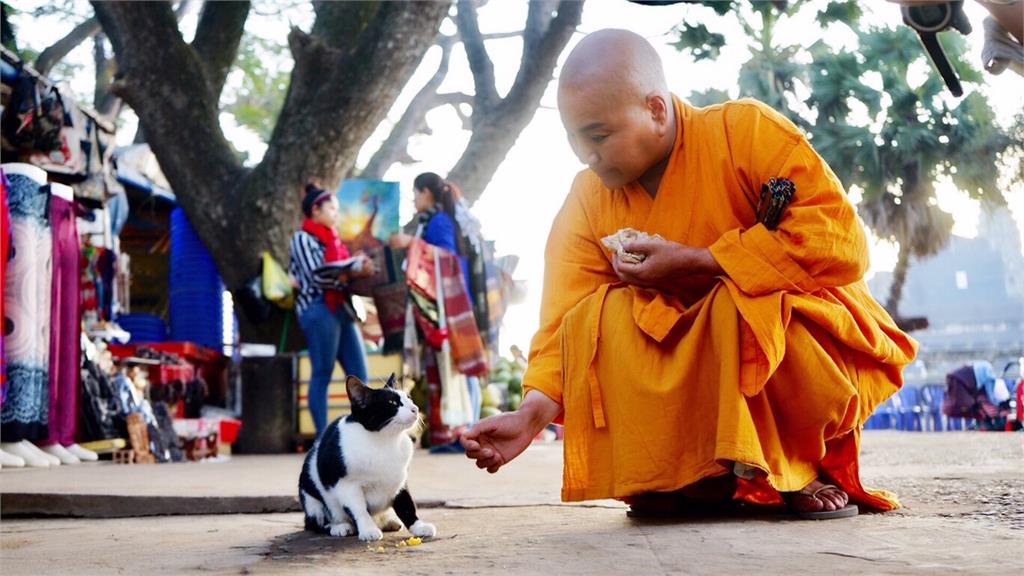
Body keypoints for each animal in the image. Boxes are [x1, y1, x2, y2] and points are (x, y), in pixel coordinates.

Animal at [299, 373, 436, 537]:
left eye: (409, 398)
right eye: (392, 403)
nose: (415, 408)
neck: (384, 441)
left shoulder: (400, 481)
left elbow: (407, 505)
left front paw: (419, 526)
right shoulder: (346, 485)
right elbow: (359, 509)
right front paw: (368, 529)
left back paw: (389, 521)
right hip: (311, 500)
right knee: (315, 522)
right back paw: (338, 526)